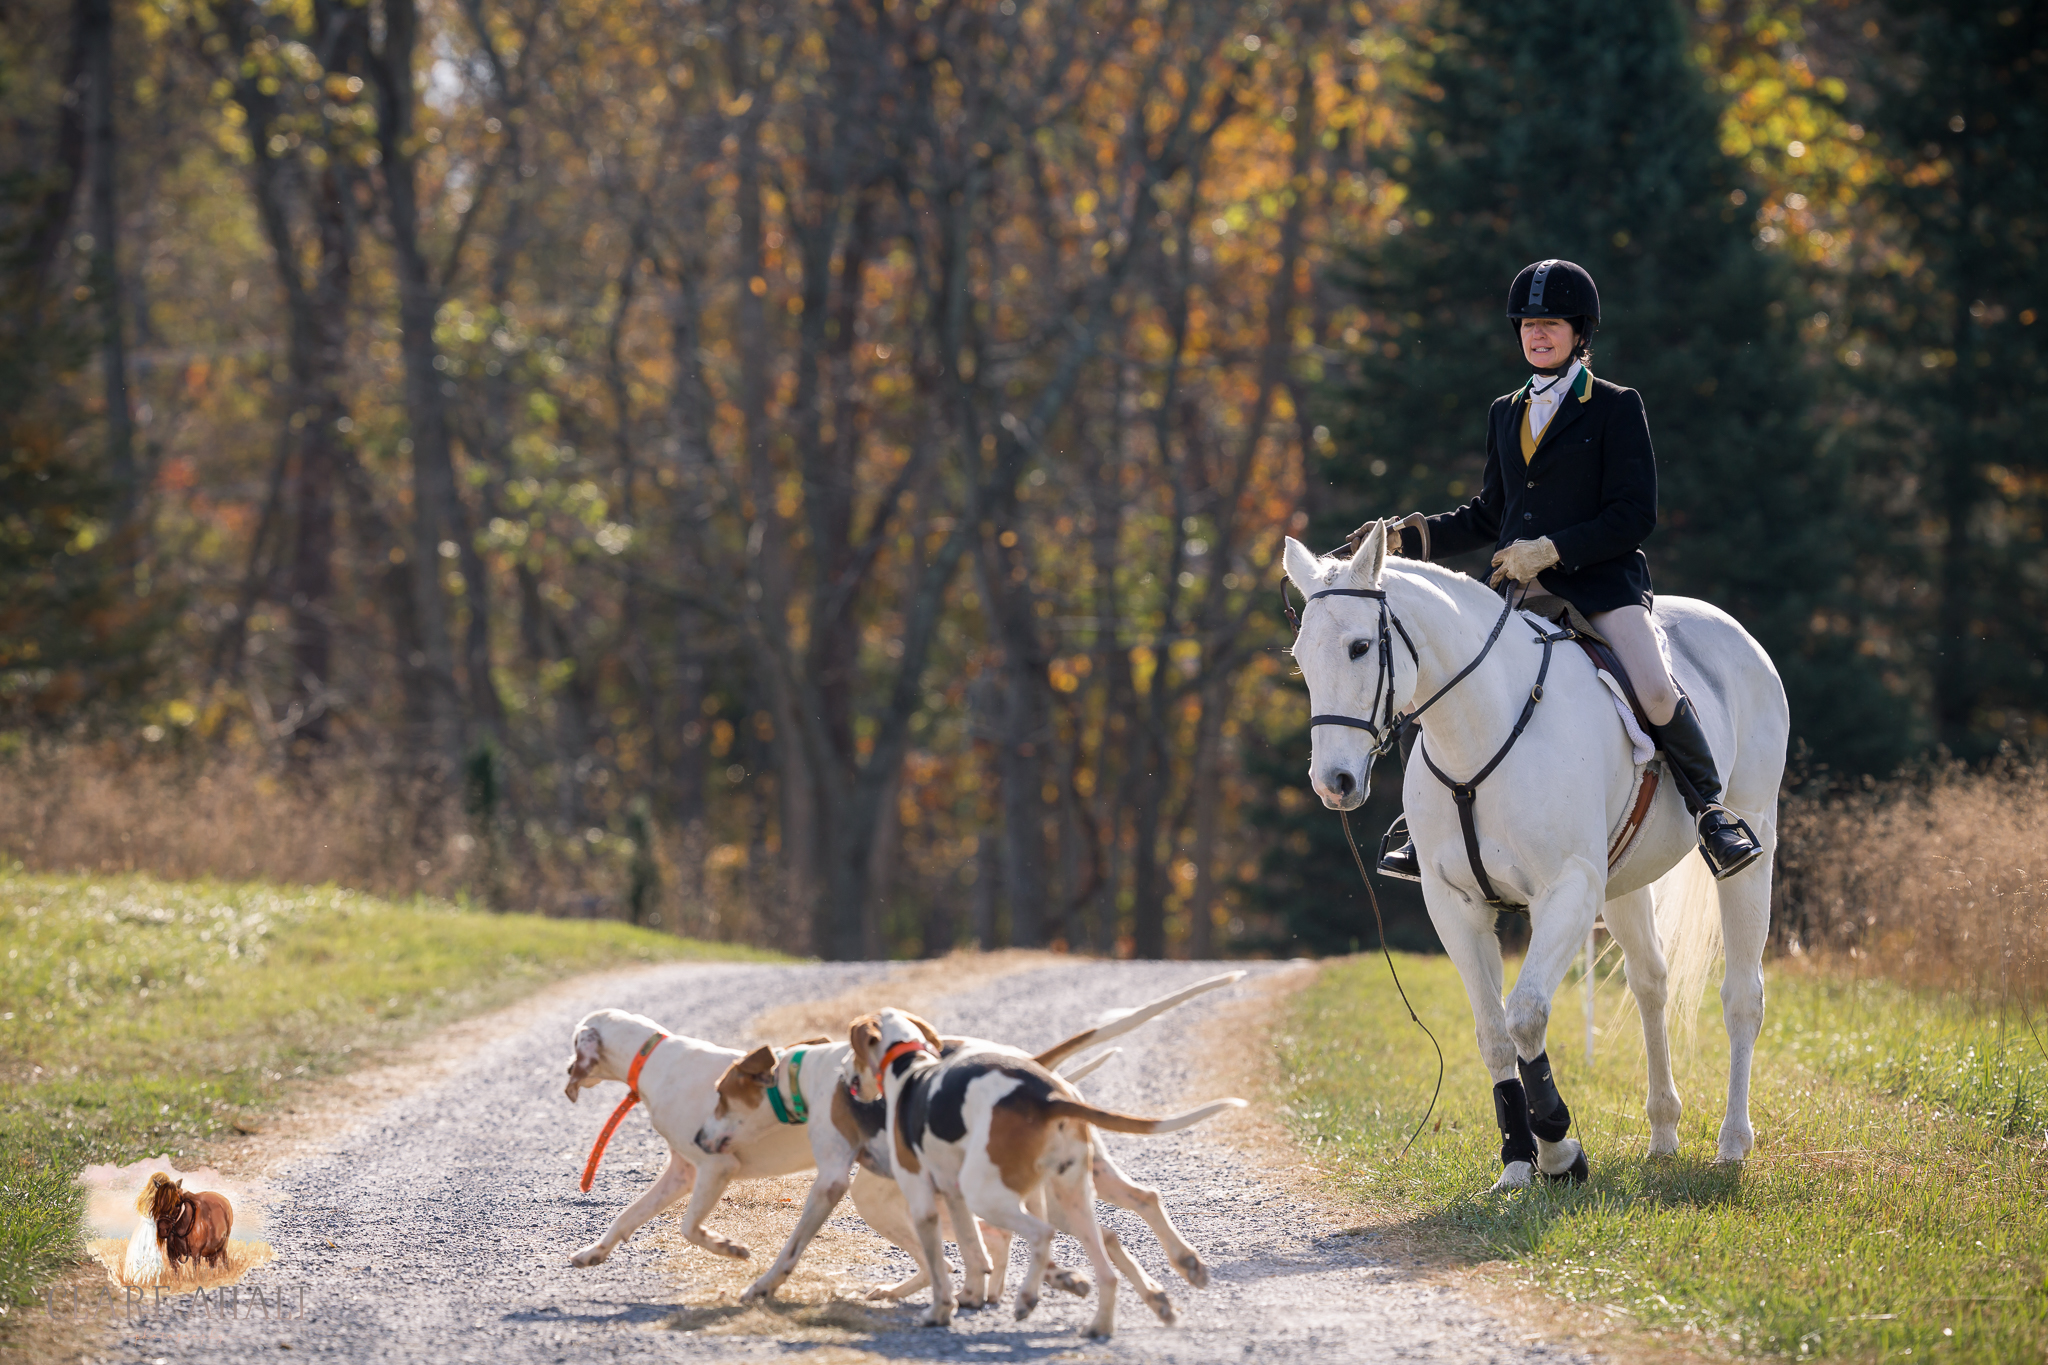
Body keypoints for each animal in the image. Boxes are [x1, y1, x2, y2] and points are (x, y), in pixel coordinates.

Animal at [1286, 523, 1785, 1186]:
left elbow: (1524, 1014)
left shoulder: (1567, 891)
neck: (1478, 731)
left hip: (1753, 845)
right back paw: (1662, 1132)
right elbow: (1493, 1032)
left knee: (1741, 997)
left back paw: (1732, 1143)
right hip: (1625, 884)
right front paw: (1518, 1163)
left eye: (1360, 647)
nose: (1334, 783)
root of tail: (1733, 630)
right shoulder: (1455, 903)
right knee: (1650, 984)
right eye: (1300, 658)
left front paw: (1558, 1147)